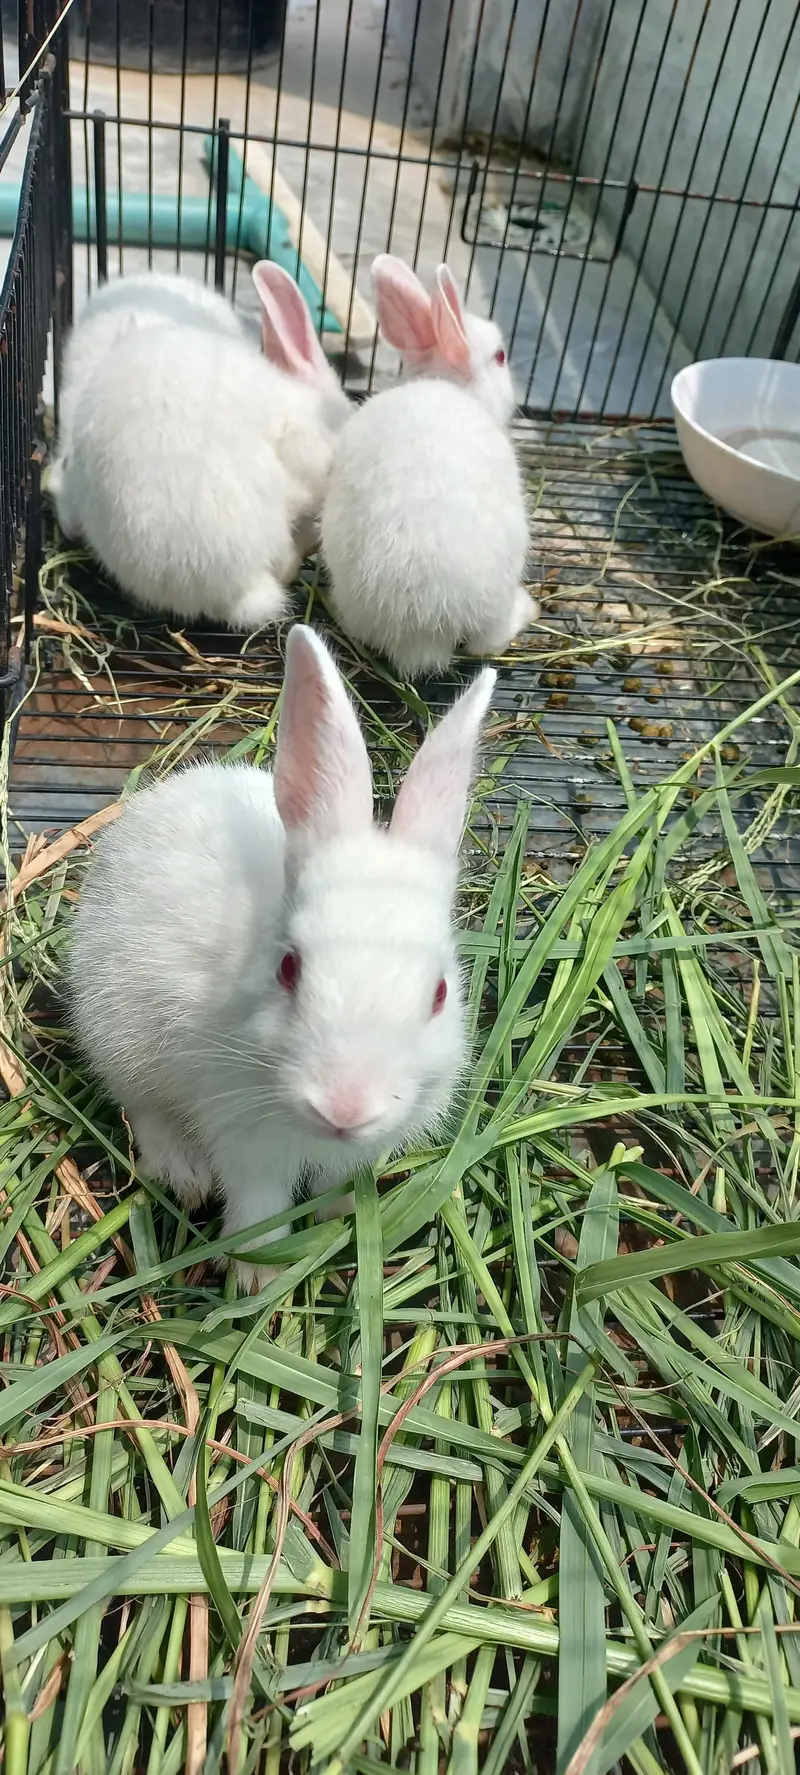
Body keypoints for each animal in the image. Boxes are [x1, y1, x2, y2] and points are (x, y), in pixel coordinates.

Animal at [68, 623, 496, 1290]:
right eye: (288, 968)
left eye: (440, 994)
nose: (346, 1107)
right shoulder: (244, 1137)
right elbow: (258, 1203)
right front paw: (256, 1277)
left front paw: (339, 1223)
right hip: (116, 1032)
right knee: (143, 1109)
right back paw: (185, 1174)